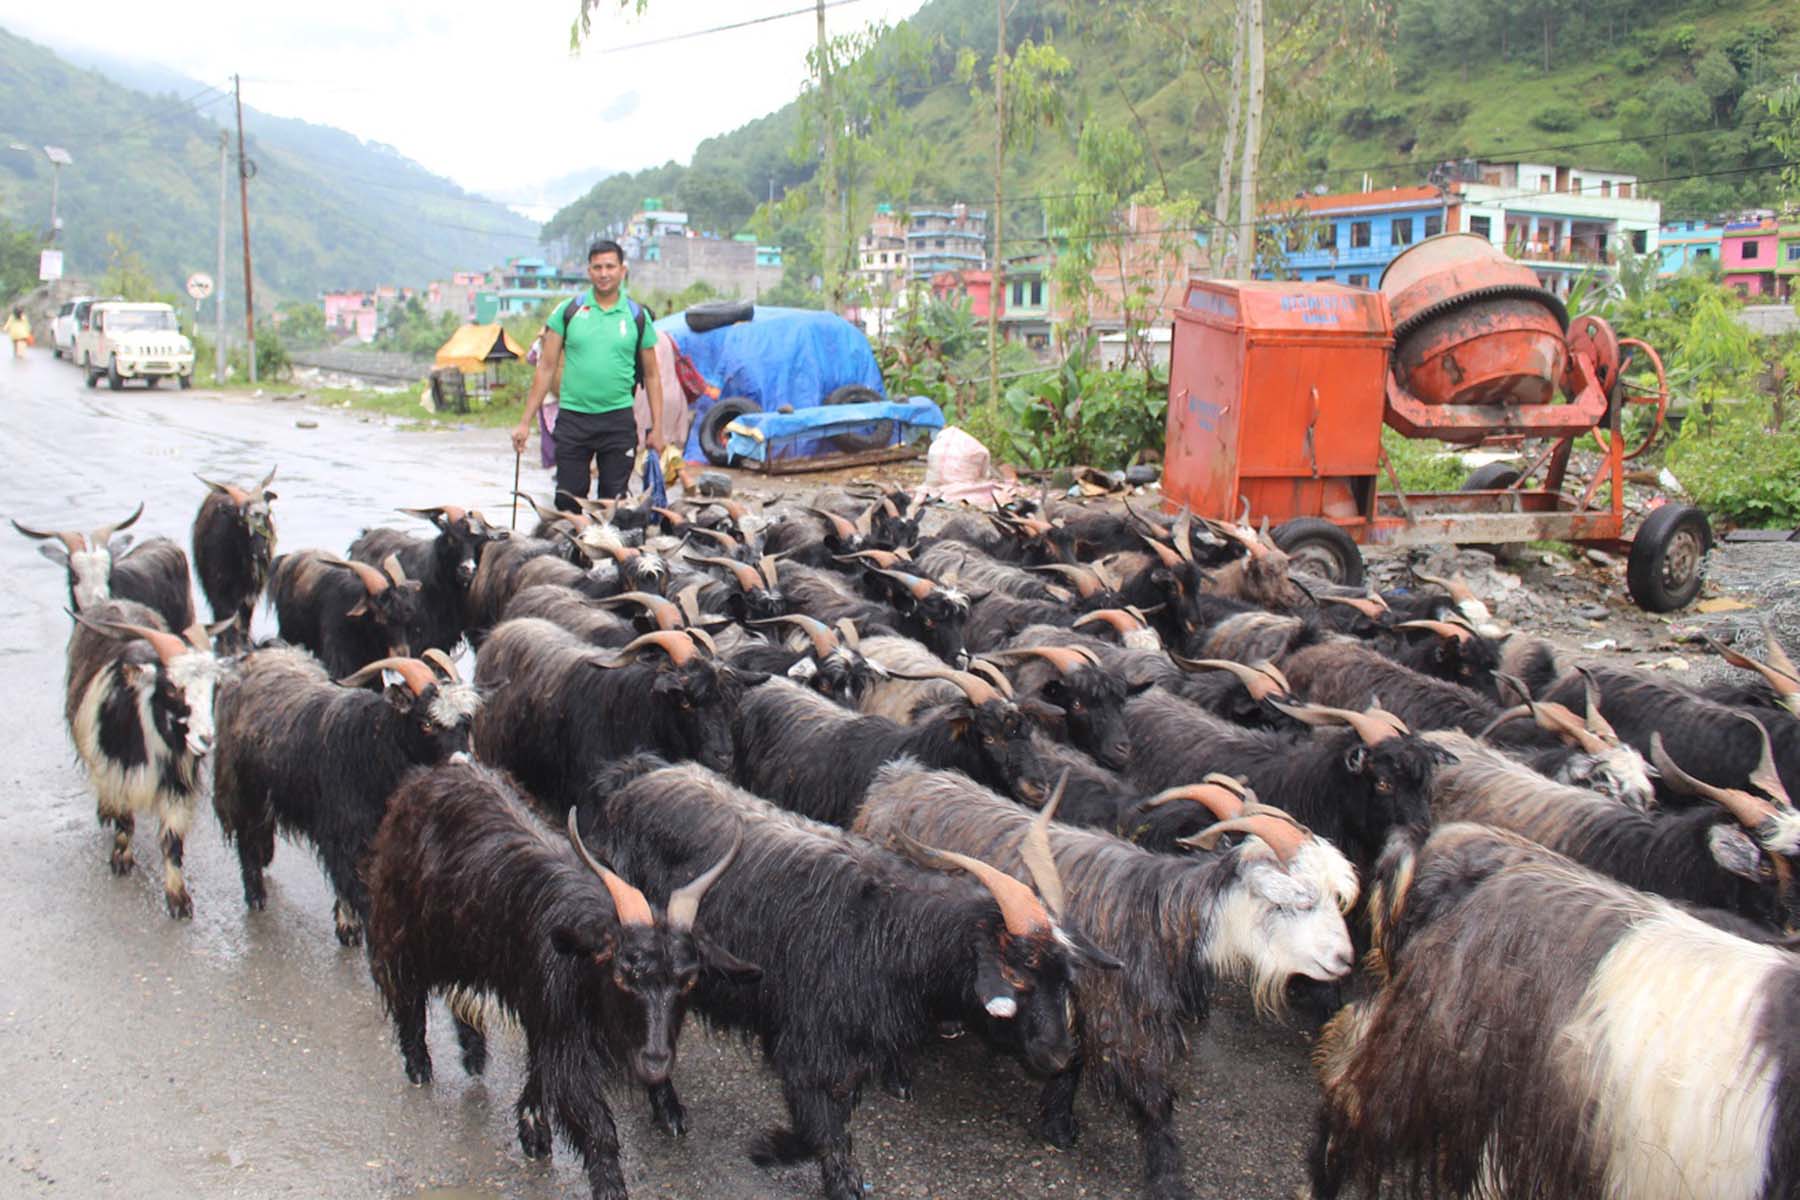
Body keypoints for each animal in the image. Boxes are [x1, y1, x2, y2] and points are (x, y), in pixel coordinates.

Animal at [193, 471, 277, 658]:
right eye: (242, 520)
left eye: (268, 514)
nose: (261, 553)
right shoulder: (219, 590)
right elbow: (227, 620)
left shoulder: (250, 593)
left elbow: (244, 621)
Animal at [365, 766, 752, 1194]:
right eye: (623, 975)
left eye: (688, 981)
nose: (655, 1062)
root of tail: (428, 777)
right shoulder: (565, 1037)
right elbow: (592, 1120)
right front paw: (609, 1186)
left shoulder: (547, 1013)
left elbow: (540, 1071)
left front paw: (534, 1130)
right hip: (406, 928)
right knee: (404, 990)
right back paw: (419, 1066)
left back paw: (474, 1053)